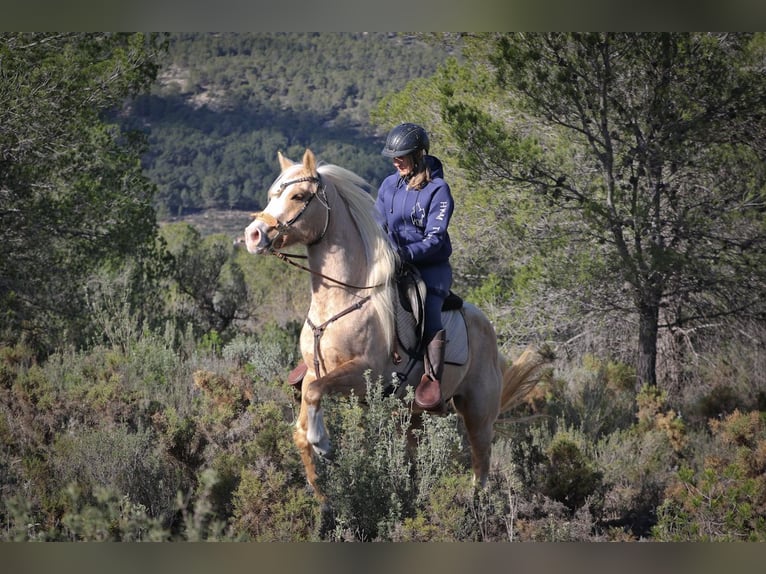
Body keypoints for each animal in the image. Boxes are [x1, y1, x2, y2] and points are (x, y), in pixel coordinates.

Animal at [244, 148, 544, 496]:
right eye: (272, 195)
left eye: (298, 195)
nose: (253, 235)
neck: (341, 298)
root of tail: (487, 326)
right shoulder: (317, 372)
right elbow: (302, 423)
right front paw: (320, 491)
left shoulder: (365, 374)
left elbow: (316, 396)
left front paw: (324, 443)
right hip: (415, 414)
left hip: (478, 410)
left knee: (480, 460)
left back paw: (476, 501)